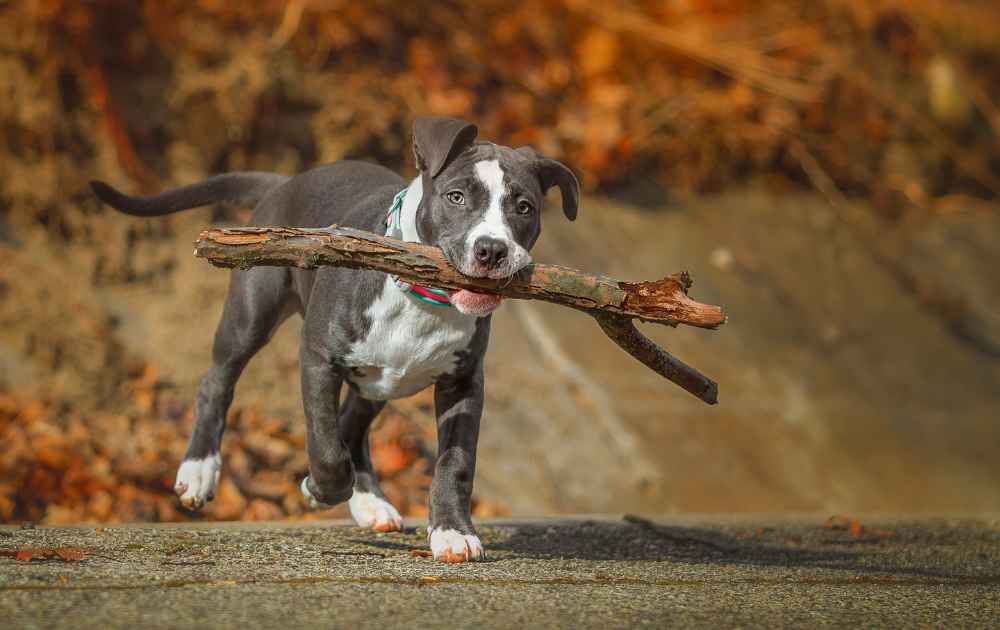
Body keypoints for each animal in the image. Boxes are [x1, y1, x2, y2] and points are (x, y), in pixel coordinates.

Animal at [95, 116, 580, 564]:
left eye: (524, 207)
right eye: (456, 196)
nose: (492, 250)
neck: (421, 297)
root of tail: (287, 182)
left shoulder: (463, 384)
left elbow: (455, 461)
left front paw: (452, 532)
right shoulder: (317, 359)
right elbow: (326, 447)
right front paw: (321, 487)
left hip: (379, 381)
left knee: (355, 421)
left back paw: (370, 503)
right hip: (250, 314)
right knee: (218, 383)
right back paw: (199, 472)